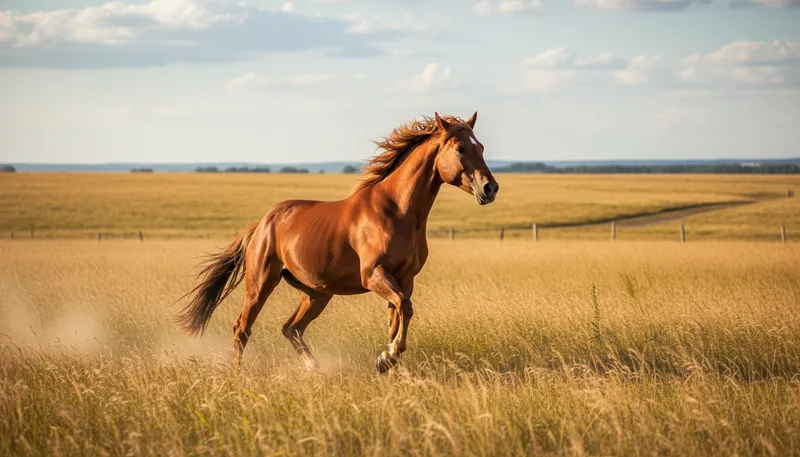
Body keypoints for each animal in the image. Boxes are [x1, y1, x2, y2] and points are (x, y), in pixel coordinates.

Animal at [175, 112, 499, 373]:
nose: (490, 188)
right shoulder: (374, 275)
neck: (397, 210)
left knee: (291, 328)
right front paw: (388, 358)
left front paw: (388, 364)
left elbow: (398, 316)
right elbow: (405, 309)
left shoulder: (405, 279)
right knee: (242, 328)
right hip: (261, 284)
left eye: (481, 147)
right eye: (460, 148)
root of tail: (263, 223)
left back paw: (314, 369)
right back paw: (238, 374)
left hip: (316, 294)